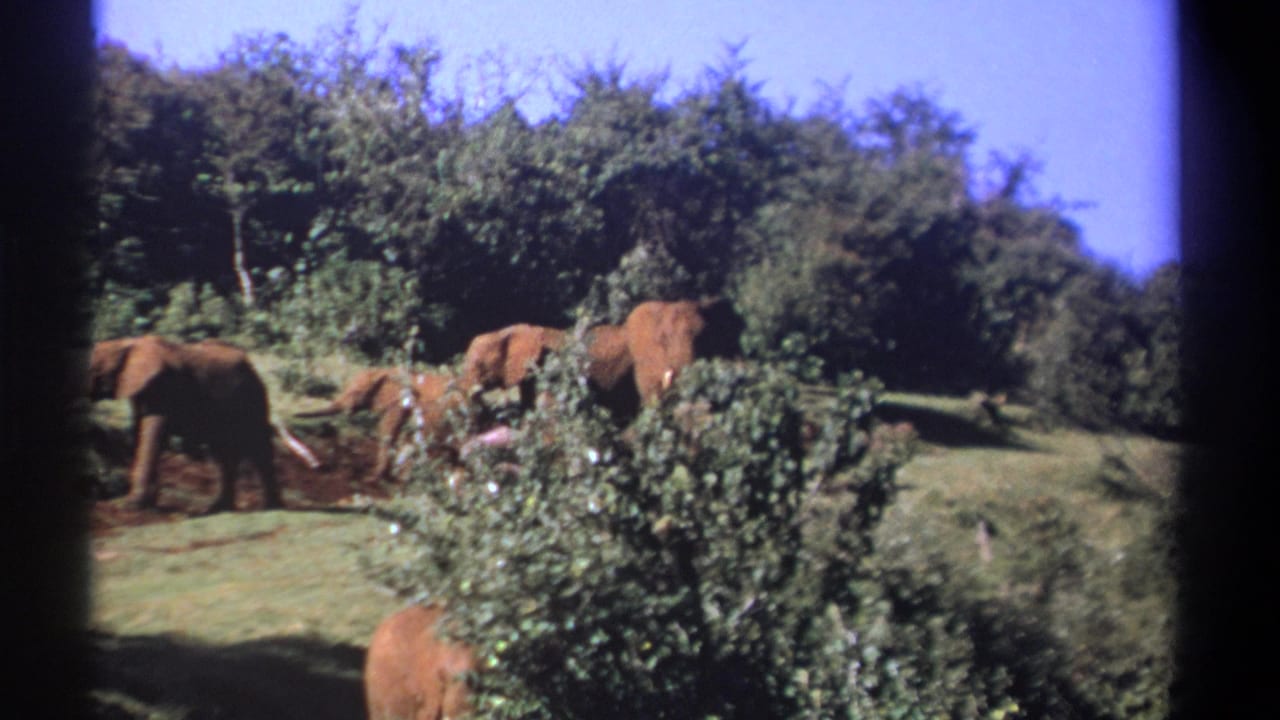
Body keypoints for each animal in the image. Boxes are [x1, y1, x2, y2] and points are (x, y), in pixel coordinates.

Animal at [87, 335, 315, 513]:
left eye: (94, 370)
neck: (126, 344)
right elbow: (139, 432)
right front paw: (146, 502)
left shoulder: (163, 387)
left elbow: (151, 433)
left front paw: (131, 506)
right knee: (224, 452)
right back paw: (219, 508)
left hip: (252, 396)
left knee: (255, 446)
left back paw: (271, 507)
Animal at [295, 368, 467, 483]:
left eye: (356, 393)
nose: (295, 415)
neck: (382, 370)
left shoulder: (399, 404)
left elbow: (387, 431)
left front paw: (372, 478)